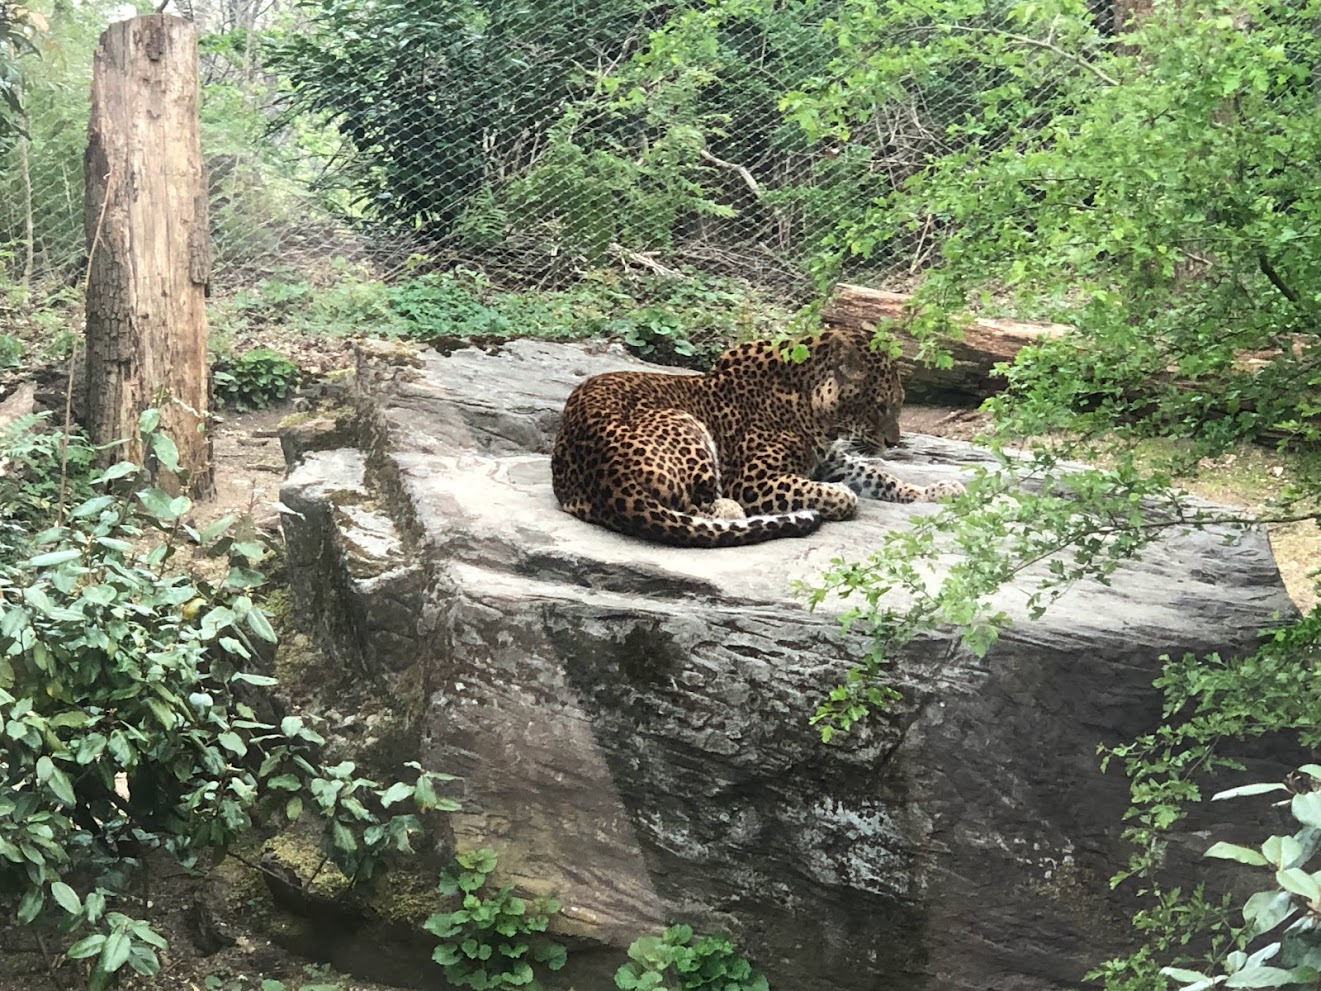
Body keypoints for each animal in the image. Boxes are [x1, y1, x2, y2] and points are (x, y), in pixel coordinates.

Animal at [551, 325, 963, 548]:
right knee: (698, 507)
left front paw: (937, 490)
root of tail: (605, 477)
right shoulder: (753, 479)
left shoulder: (830, 460)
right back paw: (734, 512)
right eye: (880, 406)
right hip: (683, 423)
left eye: (899, 404)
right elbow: (834, 492)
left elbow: (880, 477)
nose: (895, 443)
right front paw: (841, 496)